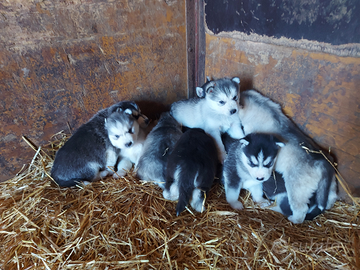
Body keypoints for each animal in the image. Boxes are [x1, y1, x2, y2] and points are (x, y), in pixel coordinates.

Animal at [239, 90, 338, 224]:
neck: (264, 107)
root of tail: (321, 163)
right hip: (329, 184)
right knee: (331, 197)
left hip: (296, 191)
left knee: (300, 210)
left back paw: (292, 219)